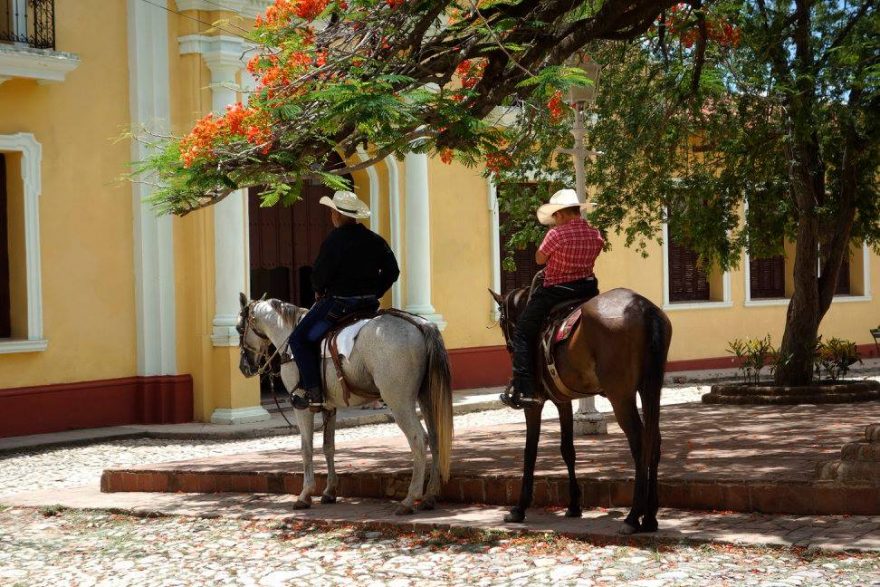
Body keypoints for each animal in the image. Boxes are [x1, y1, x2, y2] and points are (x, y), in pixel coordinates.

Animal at [235, 294, 454, 516]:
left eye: (238, 328)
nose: (244, 367)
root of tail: (420, 324)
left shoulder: (301, 406)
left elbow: (307, 449)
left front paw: (305, 494)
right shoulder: (329, 407)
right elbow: (328, 447)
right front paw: (329, 491)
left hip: (398, 401)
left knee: (418, 439)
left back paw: (410, 499)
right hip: (426, 398)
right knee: (435, 437)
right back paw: (430, 495)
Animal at [488, 288, 672, 536]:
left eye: (502, 321)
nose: (510, 348)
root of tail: (644, 307)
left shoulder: (534, 404)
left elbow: (530, 452)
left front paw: (519, 508)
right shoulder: (563, 402)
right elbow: (568, 450)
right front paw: (574, 505)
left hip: (621, 396)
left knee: (640, 442)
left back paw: (633, 517)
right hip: (649, 387)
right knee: (654, 440)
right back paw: (650, 517)